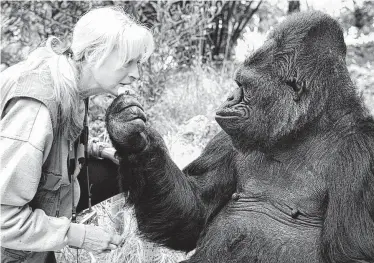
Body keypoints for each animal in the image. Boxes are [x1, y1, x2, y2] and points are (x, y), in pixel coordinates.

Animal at [103, 11, 374, 263]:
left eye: (244, 86)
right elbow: (193, 213)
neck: (303, 130)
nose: (229, 98)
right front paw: (131, 137)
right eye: (238, 84)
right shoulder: (226, 140)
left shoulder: (363, 155)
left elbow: (351, 253)